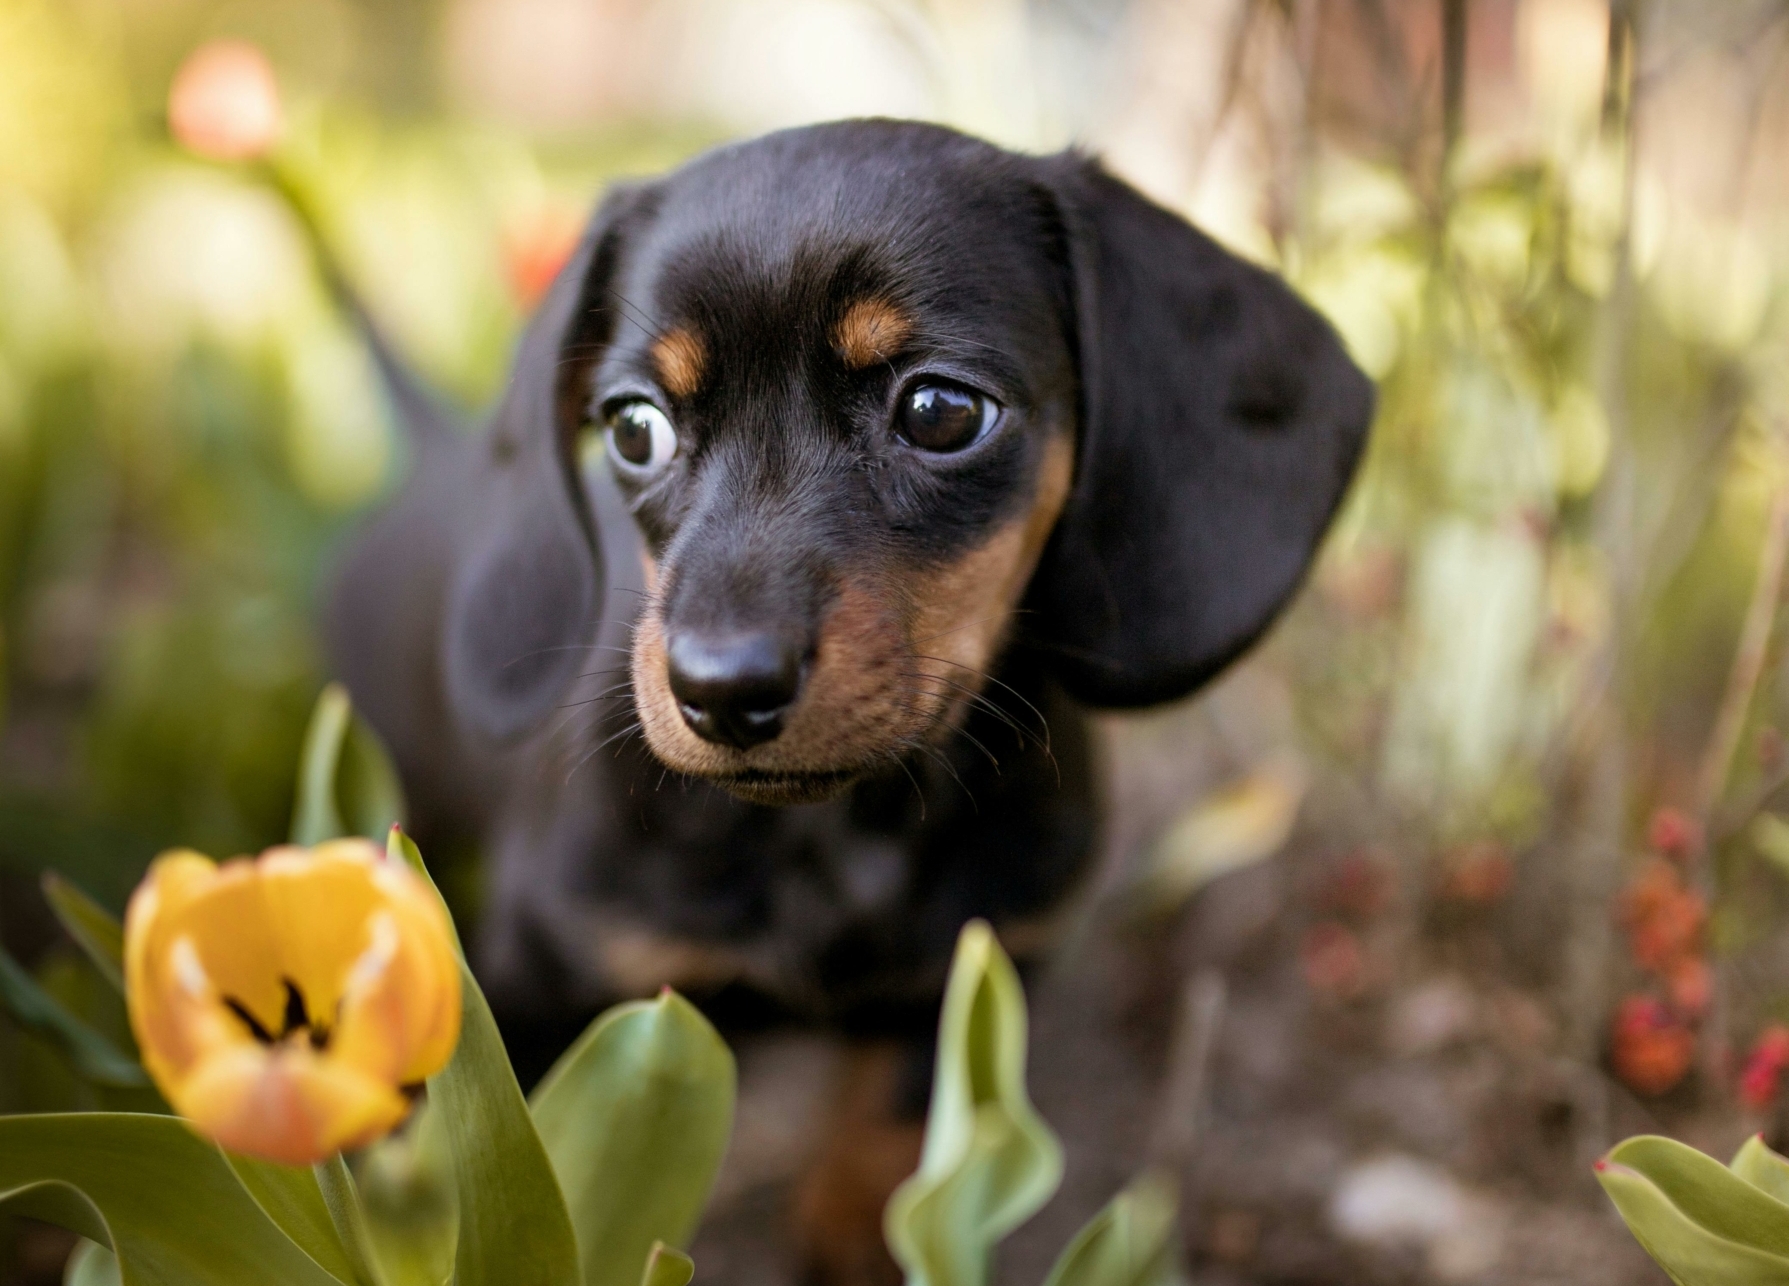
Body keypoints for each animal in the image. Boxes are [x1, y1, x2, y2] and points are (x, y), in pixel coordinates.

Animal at [329, 118, 1373, 1280]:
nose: (720, 688)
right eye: (633, 427)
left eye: (942, 410)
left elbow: (877, 1154)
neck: (834, 833)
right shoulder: (539, 978)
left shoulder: (962, 980)